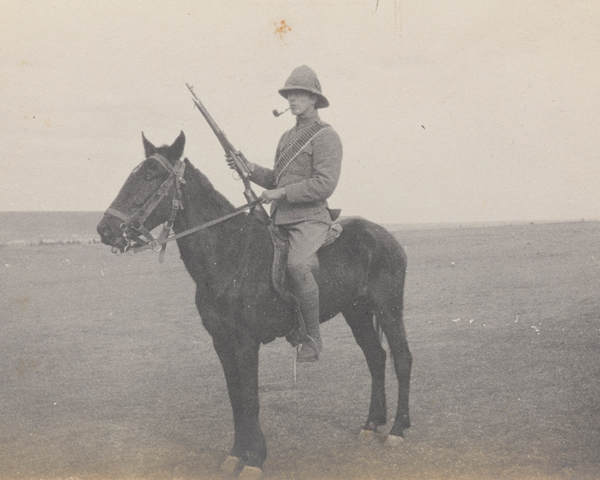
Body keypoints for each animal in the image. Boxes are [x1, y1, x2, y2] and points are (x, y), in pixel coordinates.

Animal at [97, 131, 412, 480]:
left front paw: (255, 459)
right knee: (376, 358)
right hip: (357, 312)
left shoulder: (246, 341)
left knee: (401, 358)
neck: (230, 254)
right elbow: (236, 398)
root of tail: (385, 236)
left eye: (150, 176)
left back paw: (397, 430)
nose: (105, 229)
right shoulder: (222, 342)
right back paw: (371, 423)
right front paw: (236, 454)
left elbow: (250, 398)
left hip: (388, 309)